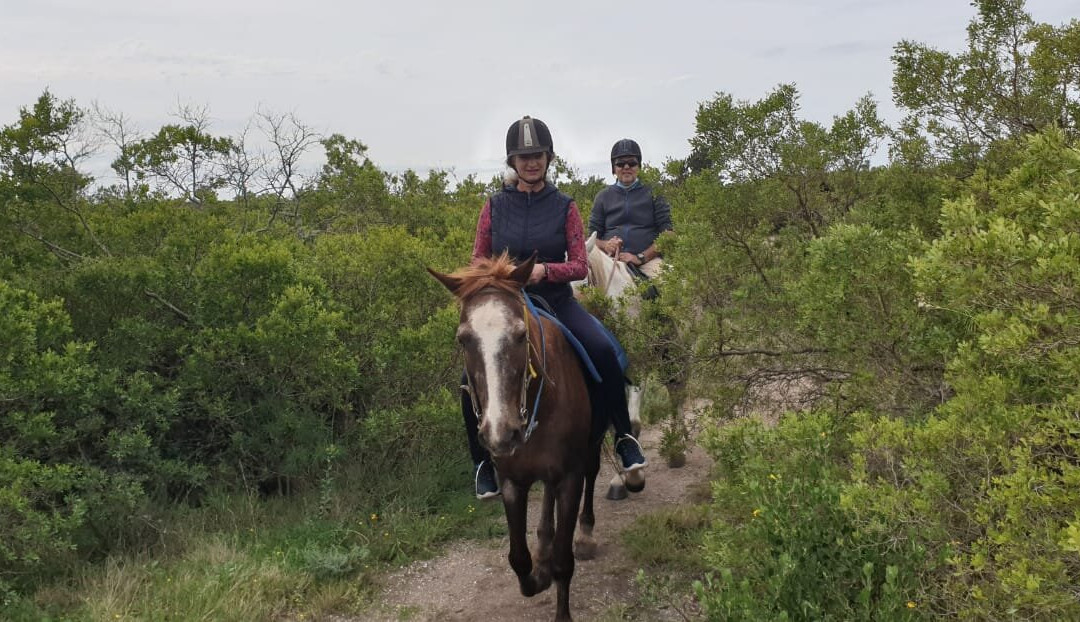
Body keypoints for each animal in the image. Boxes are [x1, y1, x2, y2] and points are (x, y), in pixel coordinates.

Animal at [429, 253, 601, 622]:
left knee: (593, 472)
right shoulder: (511, 480)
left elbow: (564, 562)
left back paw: (586, 534)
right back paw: (543, 544)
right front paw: (538, 573)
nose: (501, 432)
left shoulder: (570, 477)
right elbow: (518, 558)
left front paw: (555, 584)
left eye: (521, 335)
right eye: (463, 338)